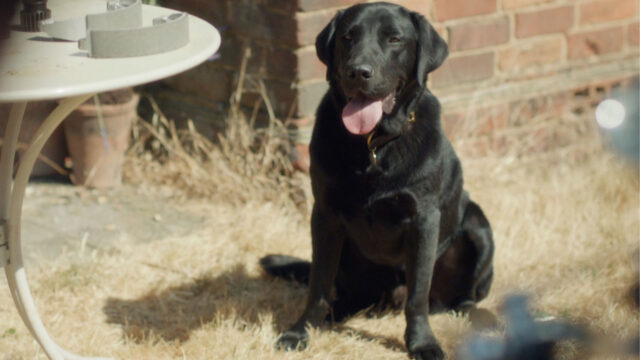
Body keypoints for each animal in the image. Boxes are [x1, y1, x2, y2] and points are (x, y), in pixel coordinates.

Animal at [260, 2, 496, 358]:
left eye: (394, 39)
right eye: (347, 37)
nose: (359, 71)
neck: (373, 144)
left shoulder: (423, 219)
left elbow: (417, 295)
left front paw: (422, 342)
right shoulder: (324, 215)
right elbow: (318, 285)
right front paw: (300, 331)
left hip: (479, 227)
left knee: (458, 299)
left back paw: (480, 317)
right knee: (342, 293)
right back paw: (334, 314)